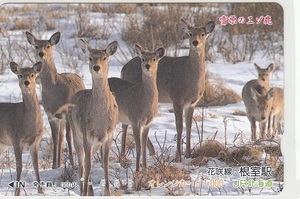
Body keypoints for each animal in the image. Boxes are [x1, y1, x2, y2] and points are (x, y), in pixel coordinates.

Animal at [0, 61, 44, 195]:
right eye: (20, 75)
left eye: (32, 74)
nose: (26, 82)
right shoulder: (16, 139)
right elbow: (19, 166)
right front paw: (17, 192)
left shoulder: (36, 141)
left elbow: (36, 165)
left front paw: (41, 191)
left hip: (2, 145)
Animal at [25, 31, 85, 169]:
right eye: (36, 46)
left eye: (48, 46)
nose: (41, 53)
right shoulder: (50, 115)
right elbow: (55, 138)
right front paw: (54, 166)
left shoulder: (67, 113)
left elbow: (69, 137)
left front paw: (72, 164)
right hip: (60, 119)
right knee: (60, 137)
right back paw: (58, 163)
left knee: (67, 136)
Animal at [66, 39, 119, 195]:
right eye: (90, 57)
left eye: (105, 57)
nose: (96, 67)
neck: (100, 119)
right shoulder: (86, 135)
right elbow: (89, 164)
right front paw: (84, 193)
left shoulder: (108, 135)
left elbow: (105, 163)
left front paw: (107, 192)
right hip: (76, 135)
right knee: (81, 163)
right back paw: (83, 189)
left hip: (95, 143)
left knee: (85, 161)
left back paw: (90, 190)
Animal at [108, 43, 165, 171]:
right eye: (143, 59)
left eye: (154, 59)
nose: (147, 66)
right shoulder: (135, 120)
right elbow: (138, 146)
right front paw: (137, 170)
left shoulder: (148, 123)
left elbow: (143, 145)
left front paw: (145, 168)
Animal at [120, 19, 214, 162]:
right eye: (190, 33)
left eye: (203, 34)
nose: (195, 42)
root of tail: (123, 69)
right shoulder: (177, 98)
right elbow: (179, 126)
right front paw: (178, 156)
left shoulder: (192, 102)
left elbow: (189, 125)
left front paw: (188, 154)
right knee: (126, 123)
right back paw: (124, 156)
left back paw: (151, 151)